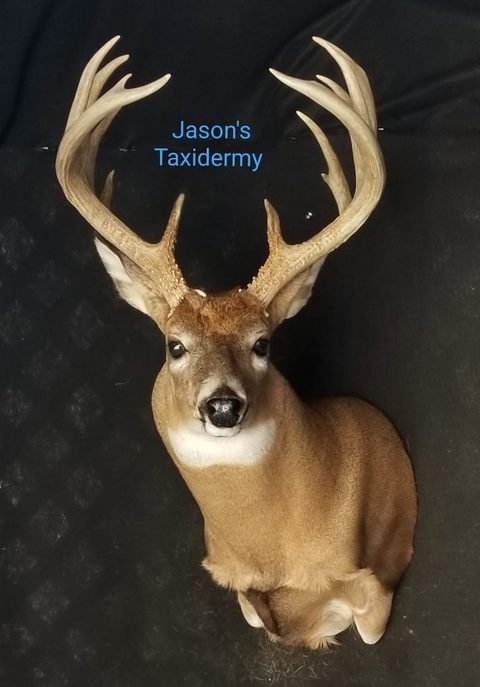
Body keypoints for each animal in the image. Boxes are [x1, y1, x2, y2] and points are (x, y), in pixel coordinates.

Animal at [55, 36, 416, 650]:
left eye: (263, 344)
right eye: (174, 345)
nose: (223, 405)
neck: (270, 552)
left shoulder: (371, 583)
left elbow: (364, 623)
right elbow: (257, 613)